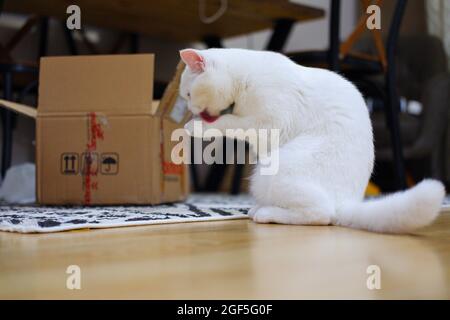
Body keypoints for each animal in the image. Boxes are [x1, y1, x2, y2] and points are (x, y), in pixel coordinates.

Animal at [178, 47, 444, 232]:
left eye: (189, 94)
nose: (189, 109)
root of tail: (347, 202)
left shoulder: (266, 124)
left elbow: (231, 123)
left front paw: (195, 127)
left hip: (274, 172)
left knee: (322, 214)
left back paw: (264, 213)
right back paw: (259, 208)